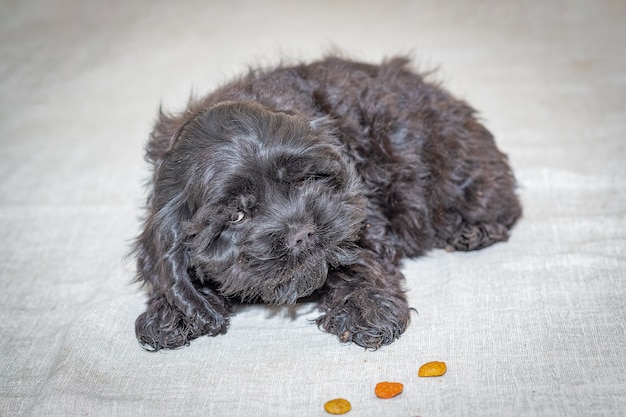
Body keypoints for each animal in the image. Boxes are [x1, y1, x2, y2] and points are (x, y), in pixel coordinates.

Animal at [133, 54, 520, 348]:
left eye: (302, 180)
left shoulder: (358, 214)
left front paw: (365, 308)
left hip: (455, 167)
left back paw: (474, 231)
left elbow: (356, 260)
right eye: (237, 216)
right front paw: (169, 313)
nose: (302, 233)